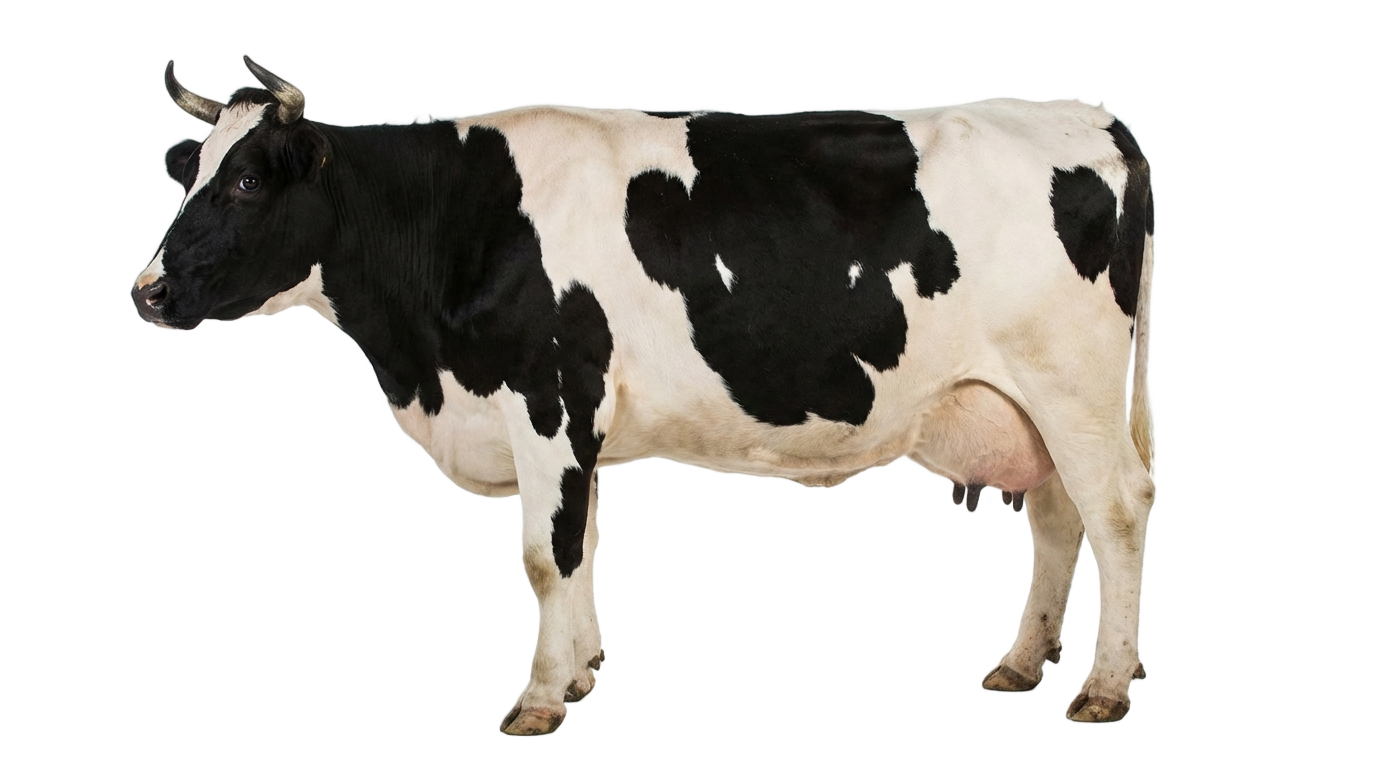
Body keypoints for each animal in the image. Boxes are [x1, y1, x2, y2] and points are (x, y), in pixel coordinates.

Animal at [133, 58, 1154, 735]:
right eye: (193, 170)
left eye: (248, 178)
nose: (149, 289)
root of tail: (1093, 122)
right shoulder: (568, 423)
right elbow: (579, 547)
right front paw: (584, 676)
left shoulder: (549, 396)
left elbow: (545, 554)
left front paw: (540, 699)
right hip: (1031, 402)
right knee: (1058, 516)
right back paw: (1022, 663)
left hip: (1075, 384)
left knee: (1114, 514)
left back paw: (1105, 686)